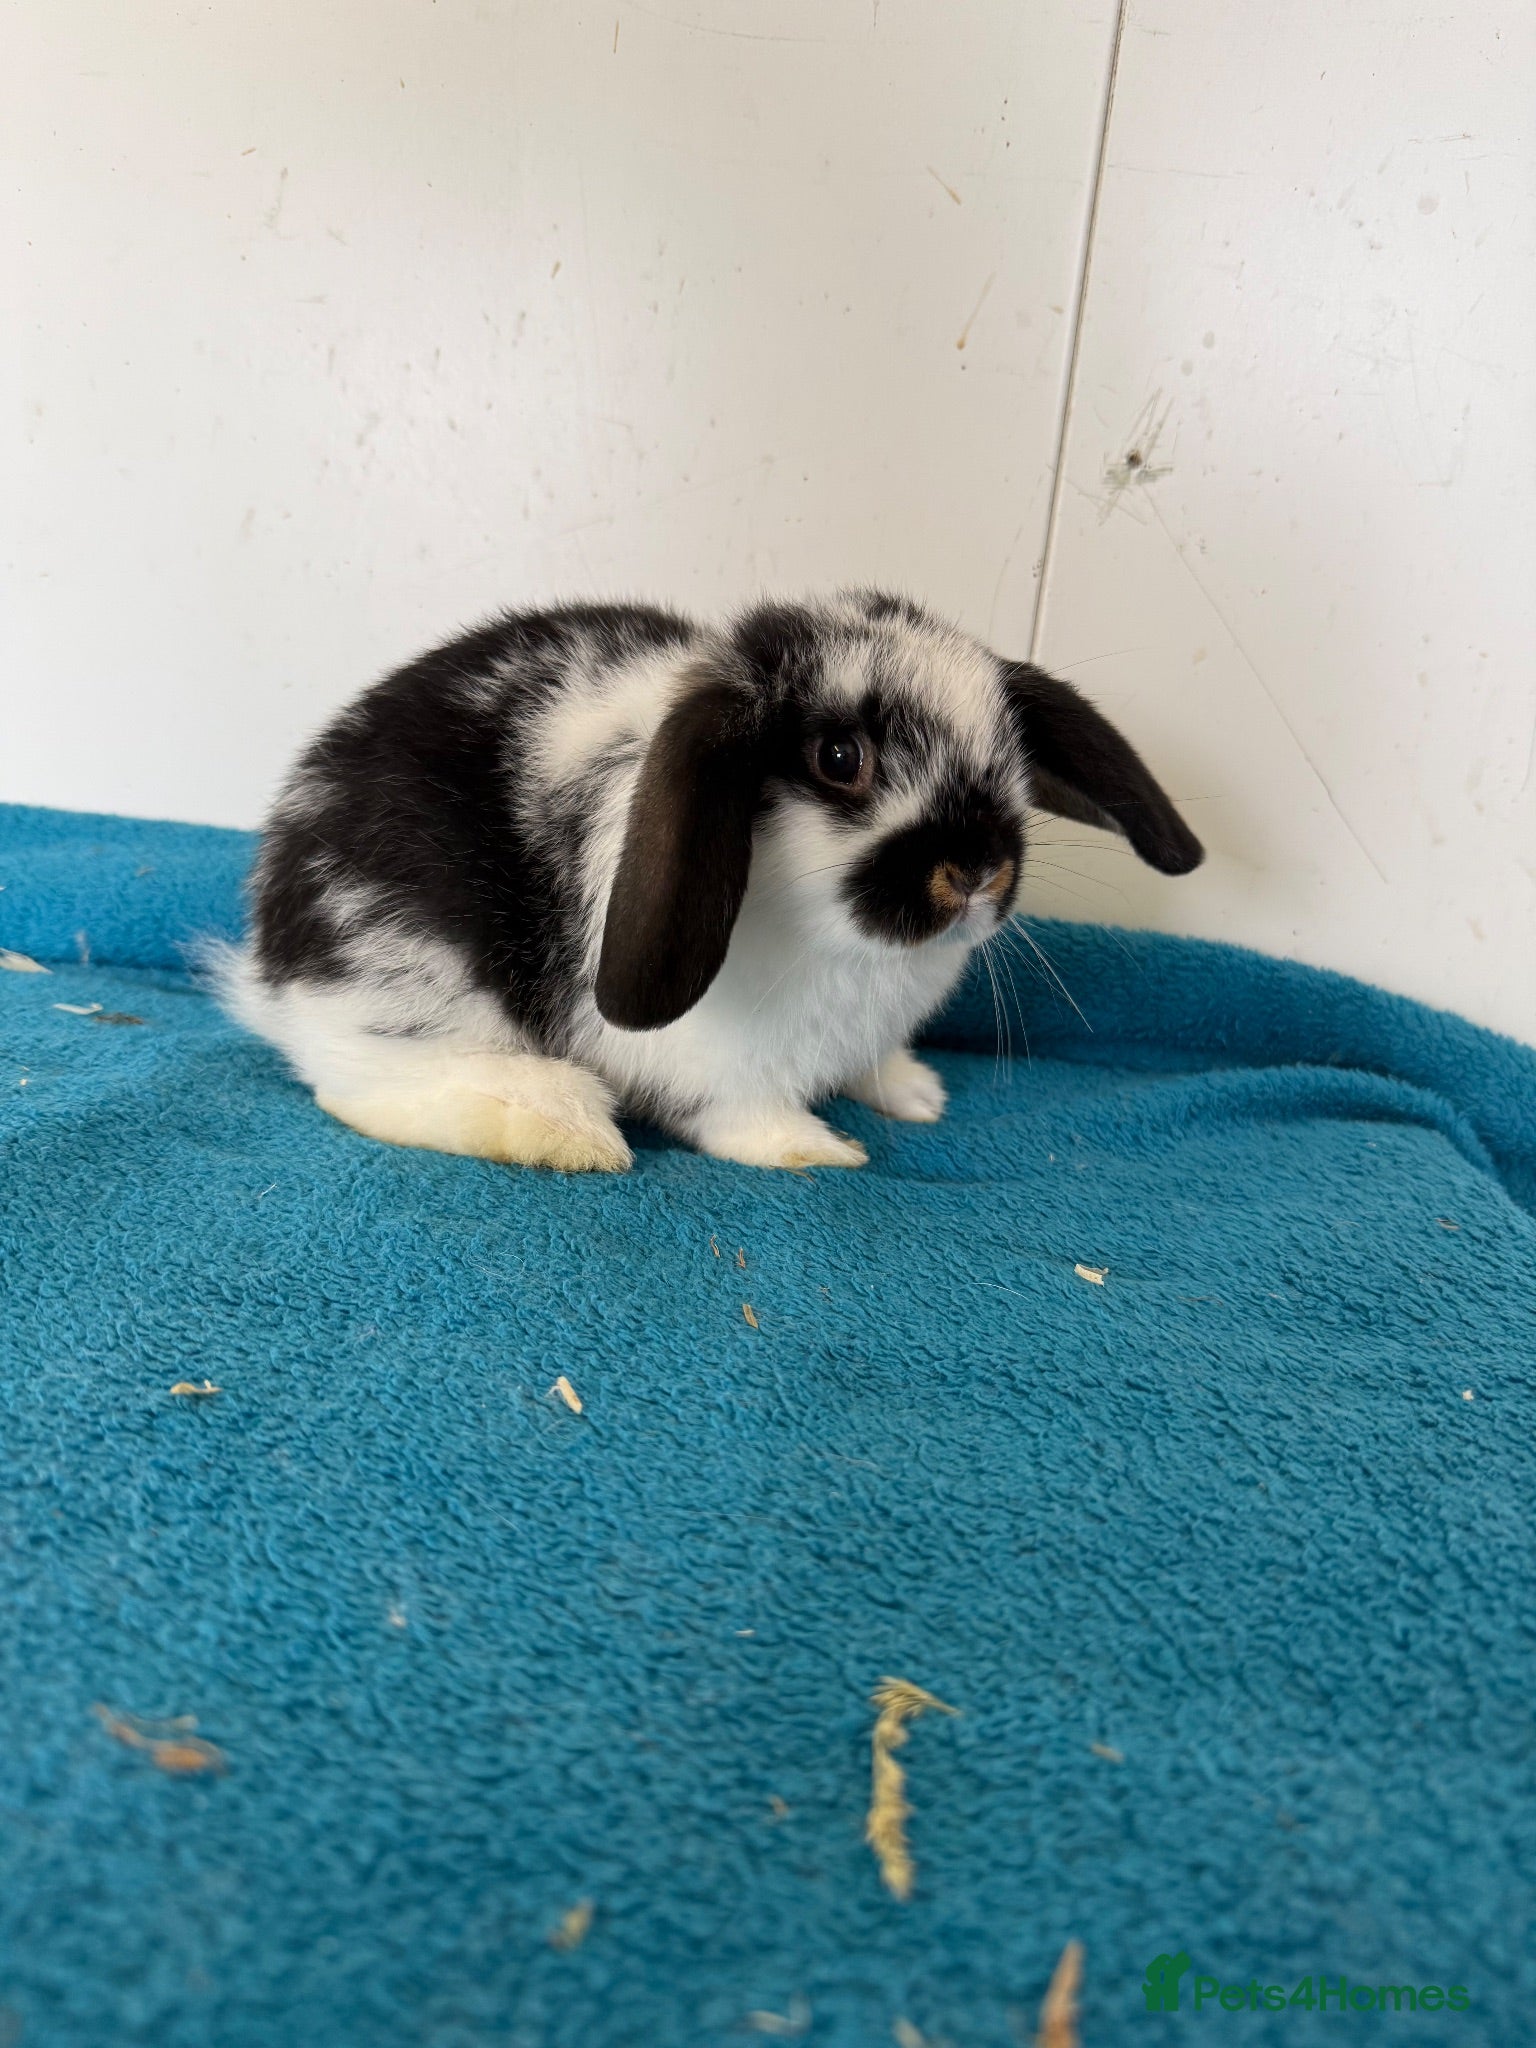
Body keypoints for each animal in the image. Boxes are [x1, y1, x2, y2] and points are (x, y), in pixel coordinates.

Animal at [216, 590, 1202, 1172]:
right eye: (839, 758)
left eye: (1009, 756)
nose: (975, 869)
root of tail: (269, 961)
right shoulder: (708, 1068)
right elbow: (741, 1118)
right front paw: (820, 1149)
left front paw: (917, 1095)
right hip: (416, 967)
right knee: (363, 1083)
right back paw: (568, 1129)